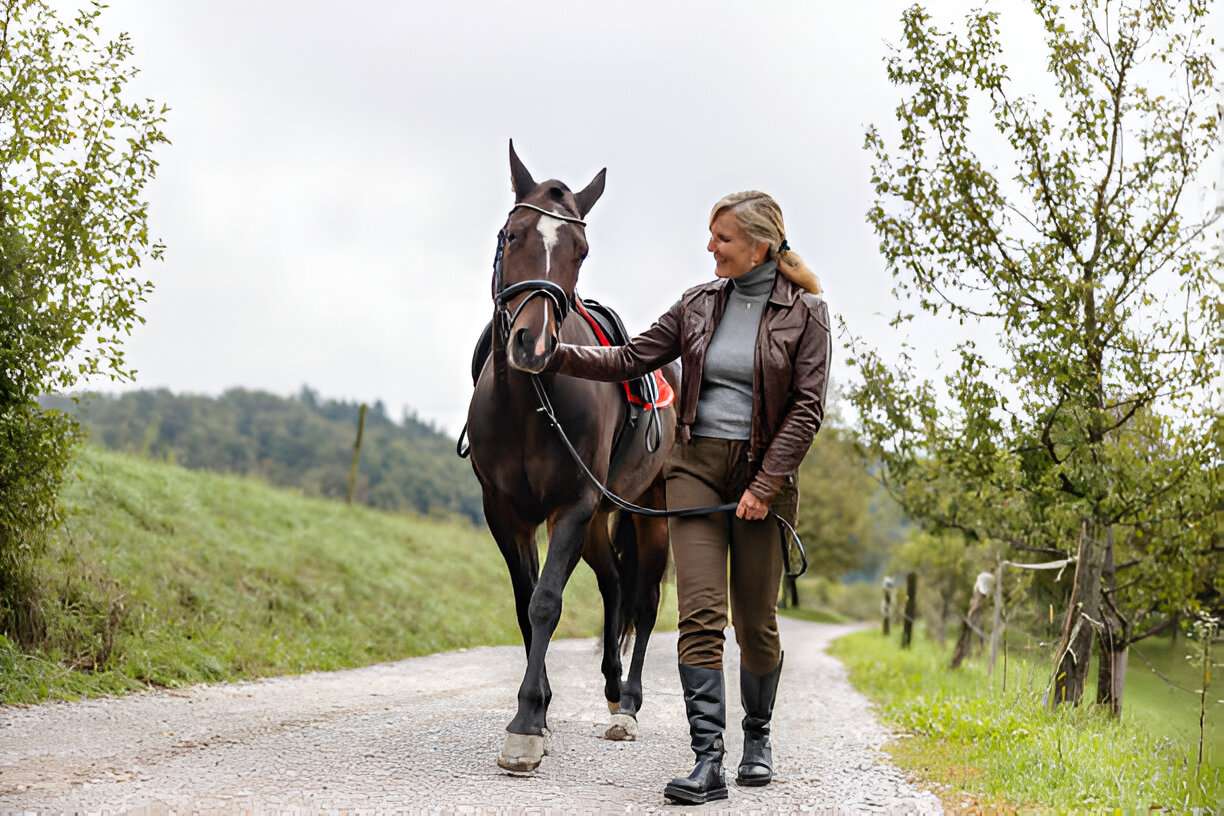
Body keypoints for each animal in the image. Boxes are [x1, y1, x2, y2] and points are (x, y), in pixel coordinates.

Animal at [465, 140, 680, 773]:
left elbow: (546, 603)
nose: (534, 344)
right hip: (599, 521)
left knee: (645, 600)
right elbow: (524, 603)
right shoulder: (505, 513)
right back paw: (609, 686)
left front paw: (526, 724)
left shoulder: (572, 506)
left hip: (647, 514)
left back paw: (628, 705)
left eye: (580, 251)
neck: (528, 404)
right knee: (613, 584)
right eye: (513, 235)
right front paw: (540, 711)